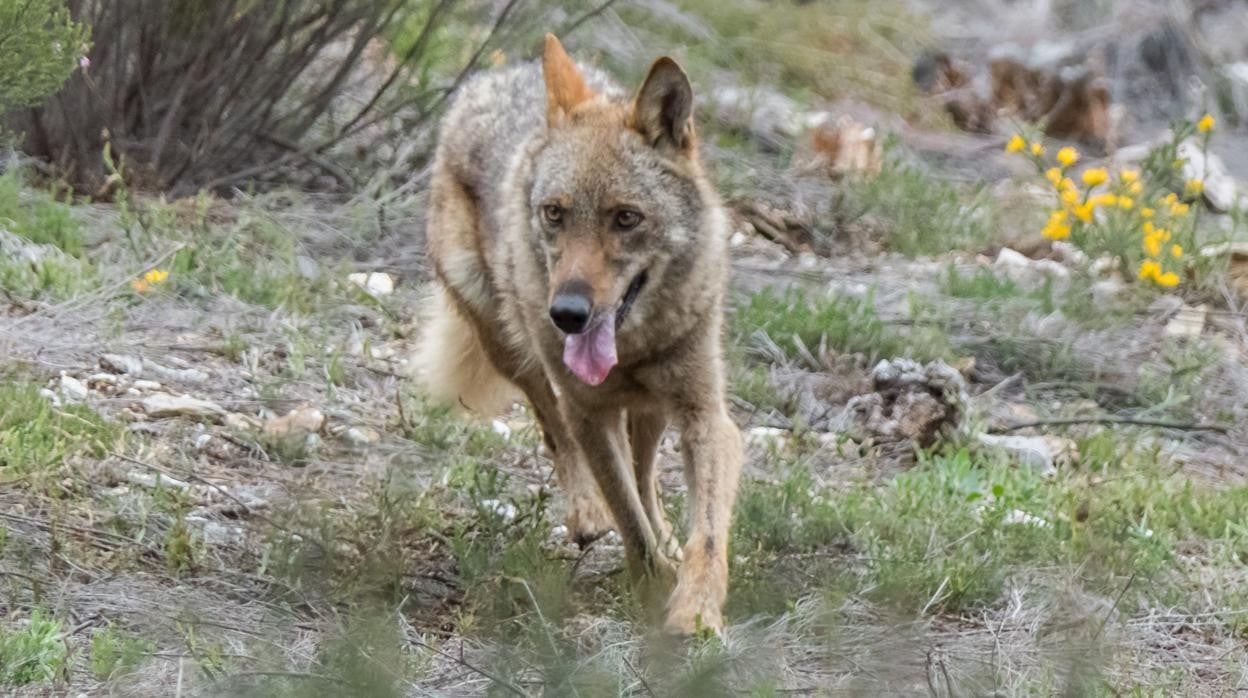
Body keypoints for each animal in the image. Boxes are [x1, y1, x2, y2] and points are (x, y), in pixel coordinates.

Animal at [416, 32, 738, 634]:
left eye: (626, 218)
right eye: (555, 213)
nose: (566, 313)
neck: (632, 347)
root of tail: (498, 76)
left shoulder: (705, 415)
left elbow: (704, 534)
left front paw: (694, 613)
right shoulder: (587, 410)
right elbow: (628, 523)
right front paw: (652, 588)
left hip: (653, 410)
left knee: (645, 473)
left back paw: (665, 535)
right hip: (513, 349)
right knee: (555, 430)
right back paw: (588, 514)